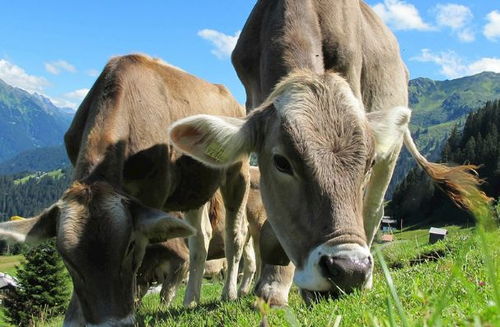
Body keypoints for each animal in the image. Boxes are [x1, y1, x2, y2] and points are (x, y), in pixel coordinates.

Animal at [0, 53, 250, 326]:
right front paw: (74, 317)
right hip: (194, 189)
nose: (112, 321)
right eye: (65, 257)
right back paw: (191, 299)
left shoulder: (153, 195)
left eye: (129, 246)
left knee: (235, 233)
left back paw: (230, 293)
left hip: (238, 171)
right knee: (200, 238)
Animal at [169, 0, 488, 308]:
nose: (350, 270)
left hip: (393, 148)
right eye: (281, 162)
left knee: (374, 210)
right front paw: (273, 286)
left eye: (368, 162)